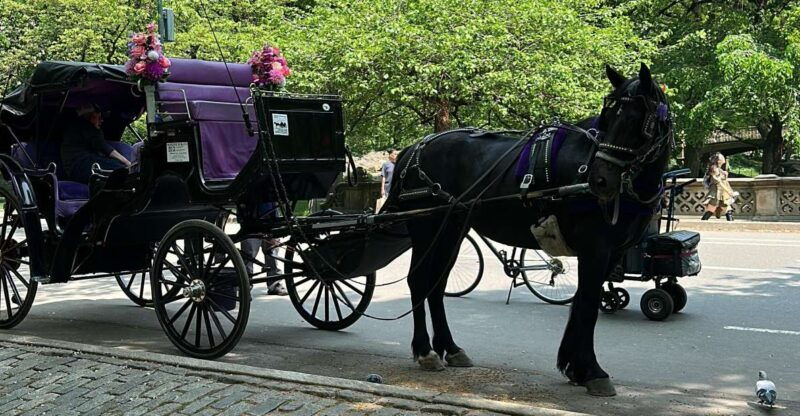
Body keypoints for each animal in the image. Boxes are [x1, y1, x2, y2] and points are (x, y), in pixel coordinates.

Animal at [383, 63, 673, 396]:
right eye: (608, 116)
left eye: (638, 120)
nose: (600, 180)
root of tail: (416, 147)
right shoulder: (595, 249)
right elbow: (587, 306)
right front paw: (592, 370)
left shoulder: (612, 253)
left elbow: (581, 304)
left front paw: (574, 366)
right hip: (426, 227)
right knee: (419, 281)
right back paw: (424, 351)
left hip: (451, 229)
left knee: (437, 284)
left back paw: (450, 347)